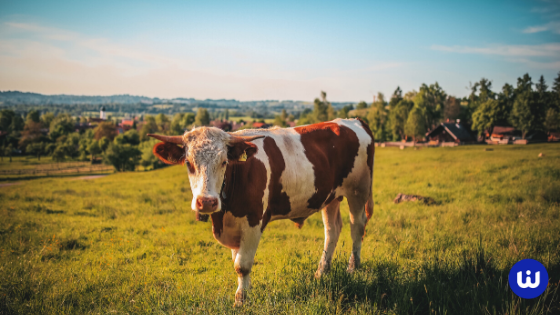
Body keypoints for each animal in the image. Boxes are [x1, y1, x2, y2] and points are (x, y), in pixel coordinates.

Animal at [149, 118, 376, 306]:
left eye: (224, 162)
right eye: (188, 163)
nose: (206, 202)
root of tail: (353, 120)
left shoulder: (253, 221)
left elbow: (242, 265)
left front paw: (241, 300)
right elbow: (237, 261)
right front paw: (243, 292)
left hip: (359, 189)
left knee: (357, 226)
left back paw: (353, 268)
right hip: (331, 196)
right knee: (332, 230)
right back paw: (321, 272)